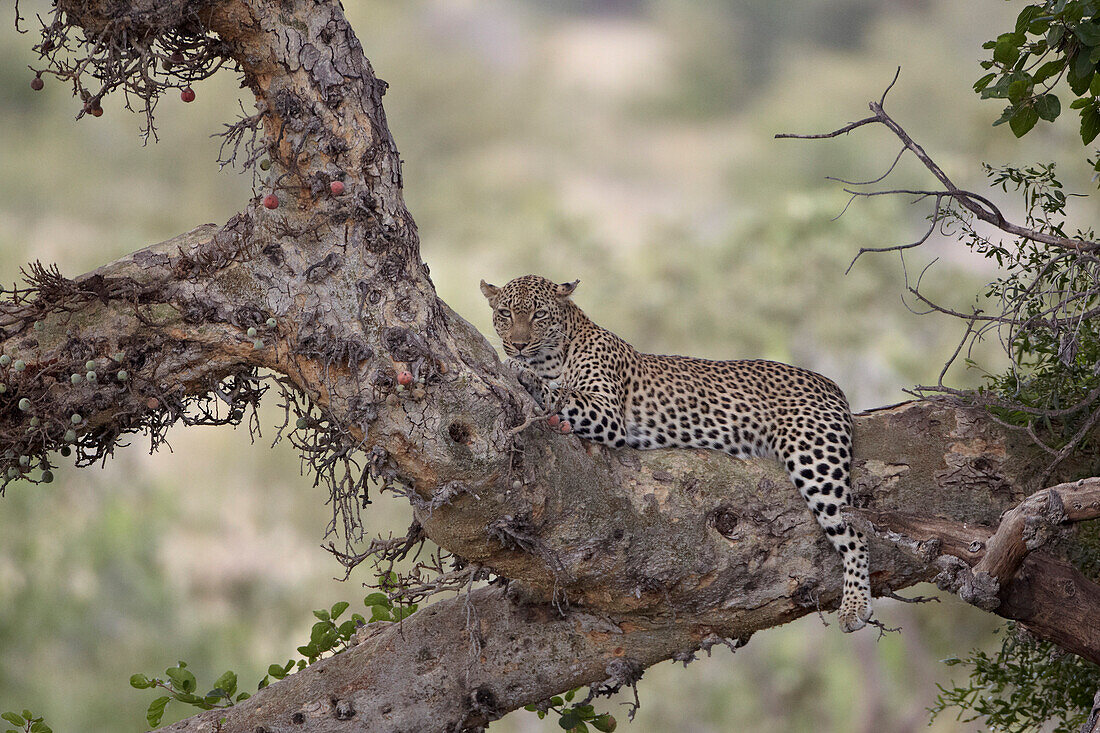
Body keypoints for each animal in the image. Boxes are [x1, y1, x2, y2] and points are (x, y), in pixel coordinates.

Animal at [477, 272, 871, 629]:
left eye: (539, 314)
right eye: (505, 313)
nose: (518, 344)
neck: (552, 358)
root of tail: (829, 383)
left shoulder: (607, 412)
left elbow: (561, 393)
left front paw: (525, 374)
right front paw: (523, 371)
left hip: (814, 457)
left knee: (856, 532)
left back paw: (855, 605)